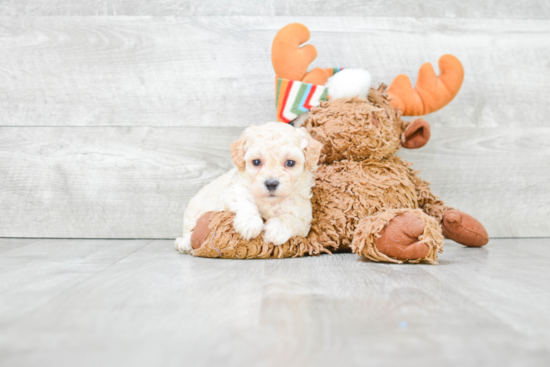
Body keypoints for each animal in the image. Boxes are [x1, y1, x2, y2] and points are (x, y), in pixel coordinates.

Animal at [176, 122, 324, 254]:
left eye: (290, 163)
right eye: (256, 162)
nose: (271, 183)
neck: (270, 202)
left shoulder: (303, 216)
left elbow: (291, 219)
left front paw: (275, 230)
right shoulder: (233, 191)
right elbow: (245, 203)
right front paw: (250, 223)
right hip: (193, 212)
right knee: (188, 231)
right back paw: (184, 243)